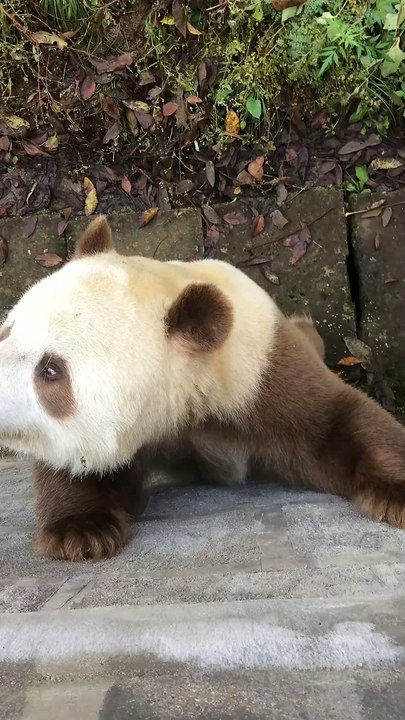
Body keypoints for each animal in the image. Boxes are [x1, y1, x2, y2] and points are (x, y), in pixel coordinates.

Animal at [0, 215, 405, 562]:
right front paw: (81, 530)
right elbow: (83, 465)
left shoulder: (258, 373)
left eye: (51, 370)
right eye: (7, 330)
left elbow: (335, 424)